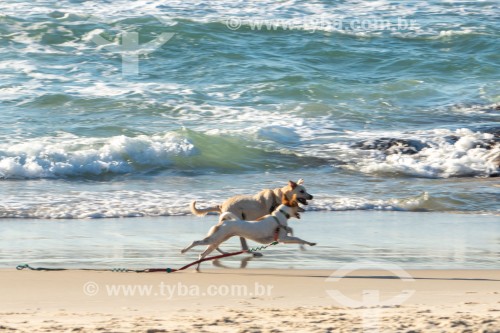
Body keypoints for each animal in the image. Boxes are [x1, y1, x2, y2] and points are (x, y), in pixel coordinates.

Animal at [181, 195, 316, 270]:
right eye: (298, 205)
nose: (304, 209)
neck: (280, 215)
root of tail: (223, 222)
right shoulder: (282, 239)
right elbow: (298, 238)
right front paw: (309, 243)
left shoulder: (283, 237)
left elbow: (293, 233)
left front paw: (305, 245)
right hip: (214, 239)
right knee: (196, 242)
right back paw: (184, 251)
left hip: (217, 240)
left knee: (202, 254)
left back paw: (197, 266)